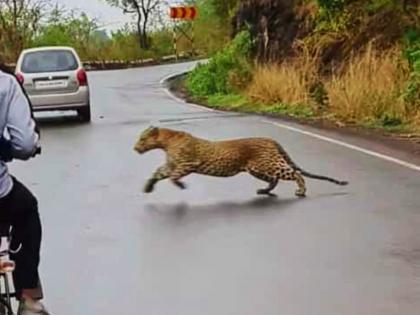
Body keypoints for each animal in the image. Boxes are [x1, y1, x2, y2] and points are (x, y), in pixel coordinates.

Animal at [135, 126, 348, 198]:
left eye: (142, 139)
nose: (135, 148)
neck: (166, 142)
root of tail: (269, 139)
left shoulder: (187, 164)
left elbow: (173, 177)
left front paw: (180, 185)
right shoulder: (171, 165)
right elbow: (158, 173)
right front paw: (147, 187)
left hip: (270, 164)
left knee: (295, 174)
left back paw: (301, 191)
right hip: (257, 169)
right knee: (274, 179)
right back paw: (264, 191)